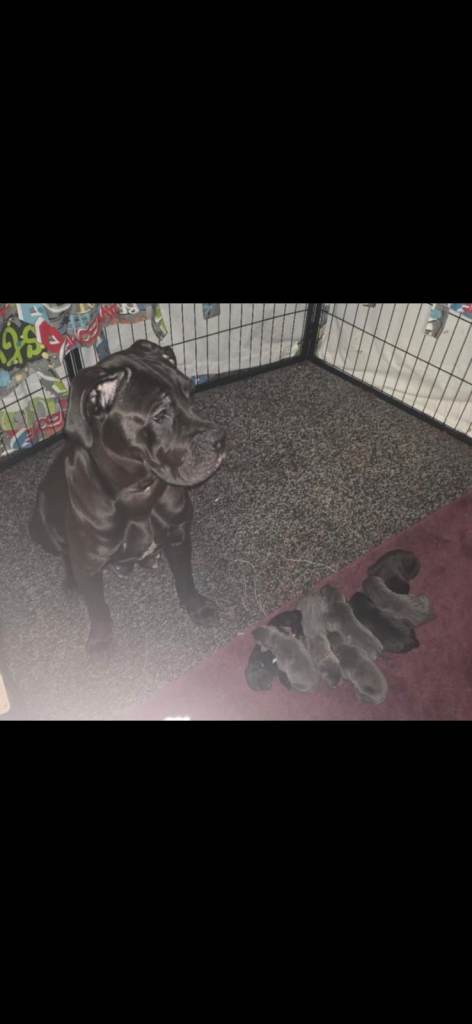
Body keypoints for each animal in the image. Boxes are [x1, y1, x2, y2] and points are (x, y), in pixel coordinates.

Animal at [29, 339, 226, 651]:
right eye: (160, 415)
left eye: (190, 392)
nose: (220, 440)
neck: (139, 492)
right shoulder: (89, 565)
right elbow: (98, 608)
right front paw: (100, 640)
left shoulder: (179, 534)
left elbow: (185, 577)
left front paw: (196, 607)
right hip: (41, 522)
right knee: (64, 553)